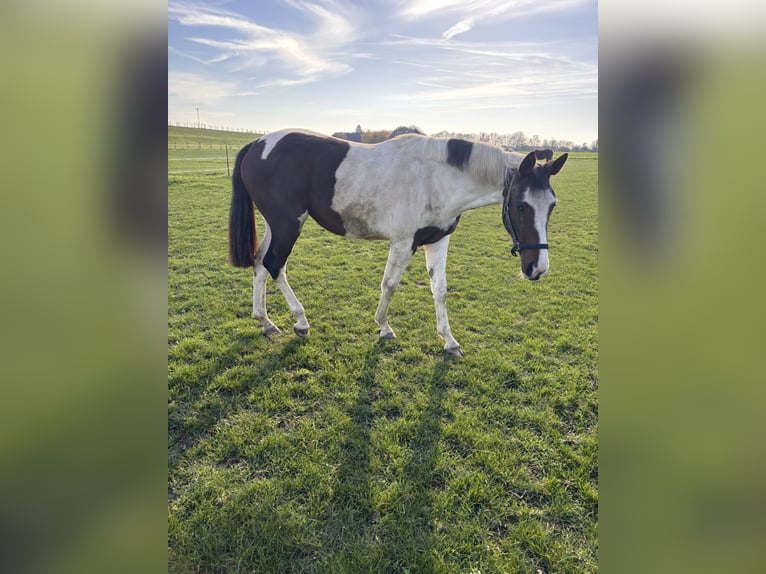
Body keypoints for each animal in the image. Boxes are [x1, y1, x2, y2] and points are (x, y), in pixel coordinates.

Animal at [228, 129, 567, 356]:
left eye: (552, 205)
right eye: (521, 206)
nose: (537, 267)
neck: (435, 178)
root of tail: (258, 144)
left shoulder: (438, 240)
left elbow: (439, 291)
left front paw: (449, 341)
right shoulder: (404, 243)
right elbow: (389, 284)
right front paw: (384, 327)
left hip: (276, 224)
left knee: (259, 264)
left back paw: (265, 321)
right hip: (288, 224)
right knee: (274, 265)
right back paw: (300, 322)